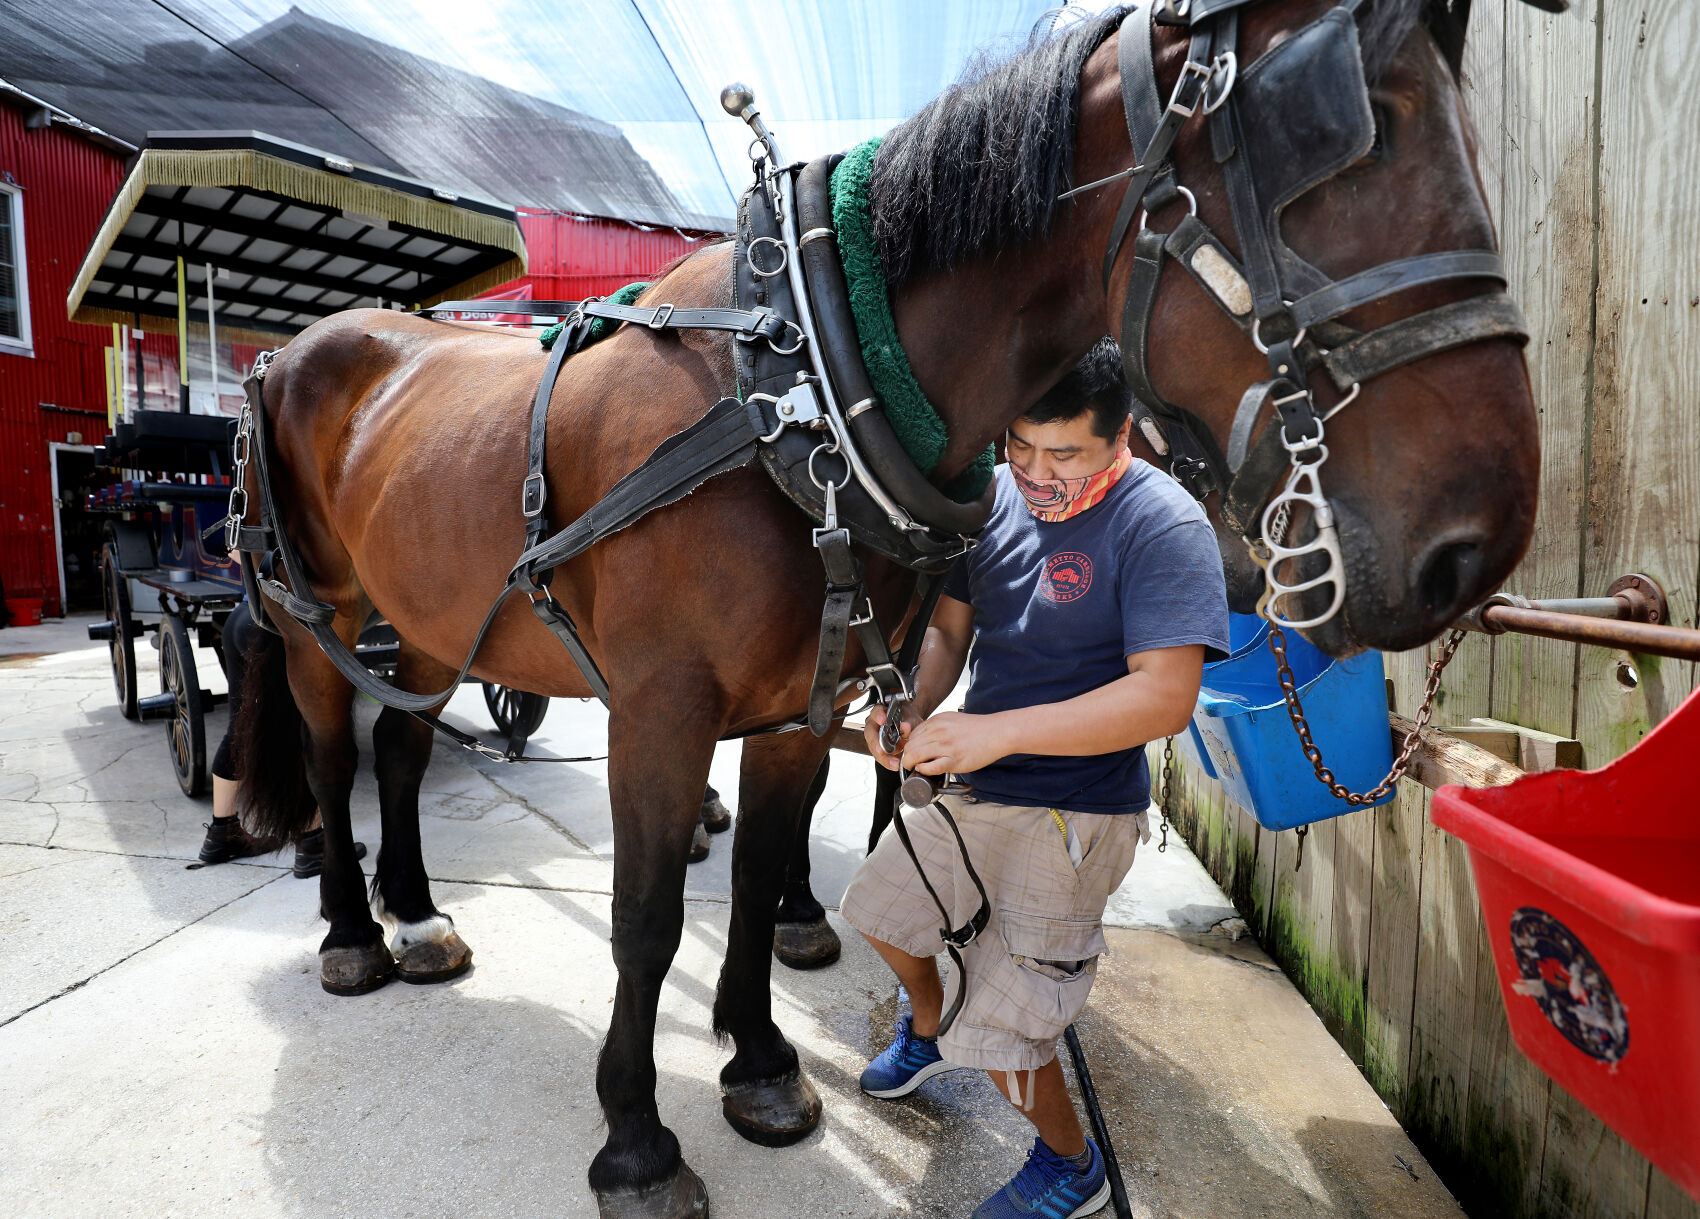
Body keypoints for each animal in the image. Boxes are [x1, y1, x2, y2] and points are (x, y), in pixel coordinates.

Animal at [236, 4, 1543, 1210]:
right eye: (1341, 132)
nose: (1472, 544)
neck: (801, 387)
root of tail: (284, 353)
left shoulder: (802, 703)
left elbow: (756, 878)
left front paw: (759, 1062)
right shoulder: (660, 712)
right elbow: (646, 916)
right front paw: (636, 1142)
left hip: (429, 621)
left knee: (402, 748)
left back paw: (415, 916)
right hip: (316, 613)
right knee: (330, 750)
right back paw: (352, 933)